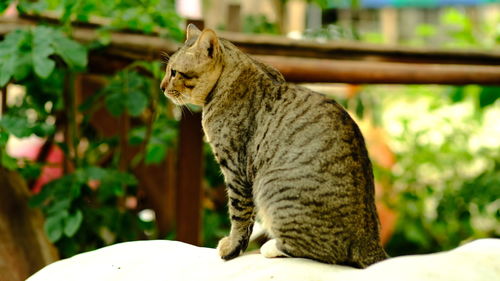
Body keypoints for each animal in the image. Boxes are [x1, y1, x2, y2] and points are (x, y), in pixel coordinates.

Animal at [162, 24, 388, 266]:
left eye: (174, 72)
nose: (162, 86)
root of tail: (369, 242)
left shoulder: (236, 169)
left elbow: (239, 215)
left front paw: (231, 247)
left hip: (271, 186)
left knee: (321, 252)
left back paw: (271, 247)